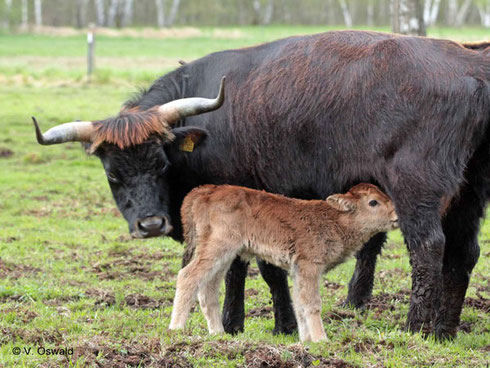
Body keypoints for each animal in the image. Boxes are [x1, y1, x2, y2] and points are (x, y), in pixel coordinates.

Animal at [169, 184, 398, 342]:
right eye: (373, 202)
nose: (396, 215)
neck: (334, 218)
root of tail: (206, 190)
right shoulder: (309, 266)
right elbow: (312, 303)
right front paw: (321, 340)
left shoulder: (298, 271)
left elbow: (300, 303)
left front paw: (306, 341)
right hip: (218, 248)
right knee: (188, 276)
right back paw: (176, 329)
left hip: (224, 255)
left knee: (208, 288)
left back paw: (218, 334)